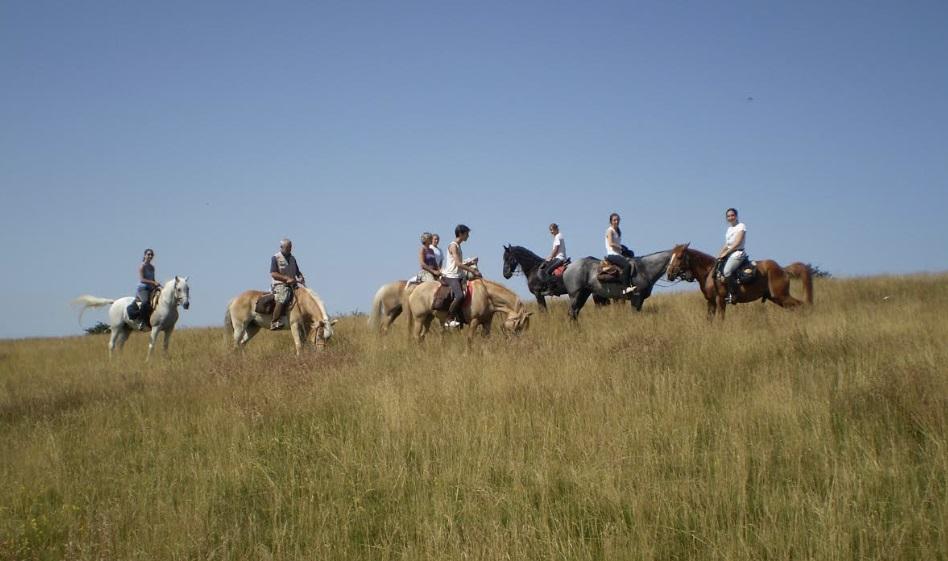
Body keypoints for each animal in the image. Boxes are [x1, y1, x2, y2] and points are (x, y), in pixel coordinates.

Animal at [668, 241, 816, 320]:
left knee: (801, 305)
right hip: (777, 298)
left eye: (679, 257)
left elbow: (720, 320)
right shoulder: (710, 302)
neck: (709, 273)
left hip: (782, 296)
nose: (669, 273)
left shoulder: (720, 300)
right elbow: (709, 320)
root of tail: (782, 269)